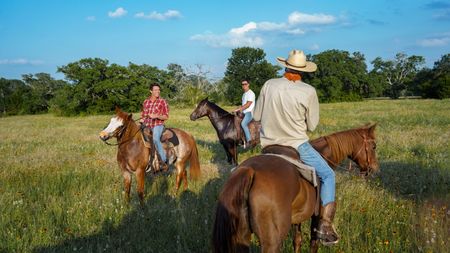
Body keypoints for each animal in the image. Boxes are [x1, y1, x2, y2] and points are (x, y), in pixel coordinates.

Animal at [213, 123, 378, 252]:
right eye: (374, 146)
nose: (374, 169)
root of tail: (249, 171)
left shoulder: (297, 218)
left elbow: (297, 241)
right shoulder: (316, 218)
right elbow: (313, 243)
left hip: (241, 237)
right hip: (271, 242)